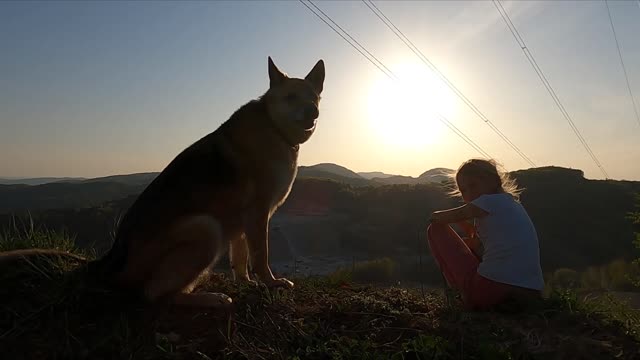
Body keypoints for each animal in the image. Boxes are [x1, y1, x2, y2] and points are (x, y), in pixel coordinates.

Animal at [2, 57, 324, 308]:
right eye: (291, 97)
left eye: (314, 97)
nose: (314, 111)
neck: (274, 126)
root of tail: (113, 258)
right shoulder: (257, 214)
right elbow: (260, 256)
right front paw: (271, 283)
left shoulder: (244, 220)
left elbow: (241, 259)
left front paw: (246, 283)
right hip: (206, 228)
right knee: (153, 294)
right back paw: (209, 299)